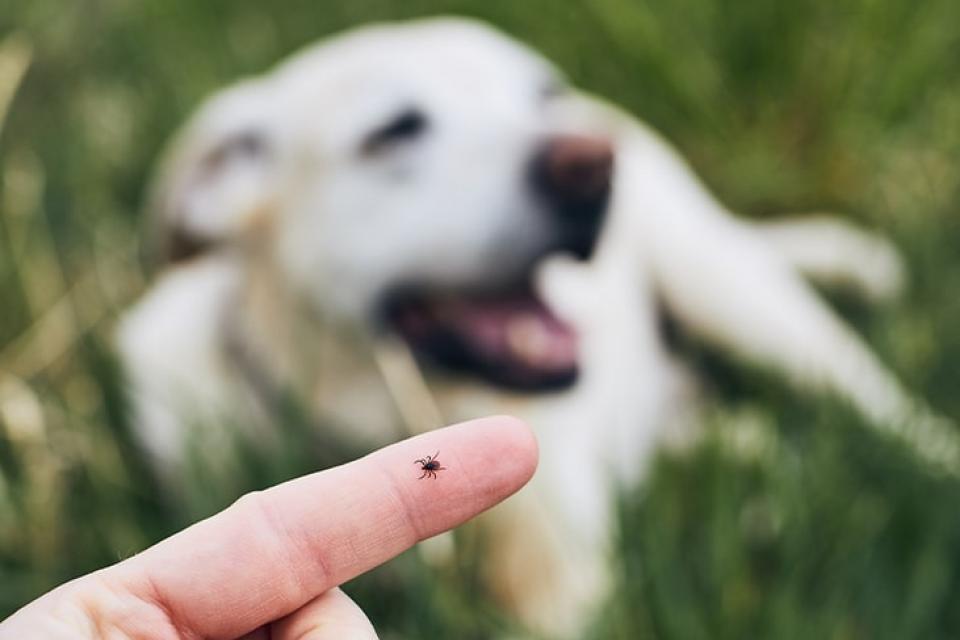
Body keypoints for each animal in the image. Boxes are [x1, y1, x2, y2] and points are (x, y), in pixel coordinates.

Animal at [114, 17, 944, 636]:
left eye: (542, 93)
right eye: (393, 132)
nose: (592, 163)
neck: (375, 413)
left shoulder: (564, 587)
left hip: (734, 294)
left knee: (885, 411)